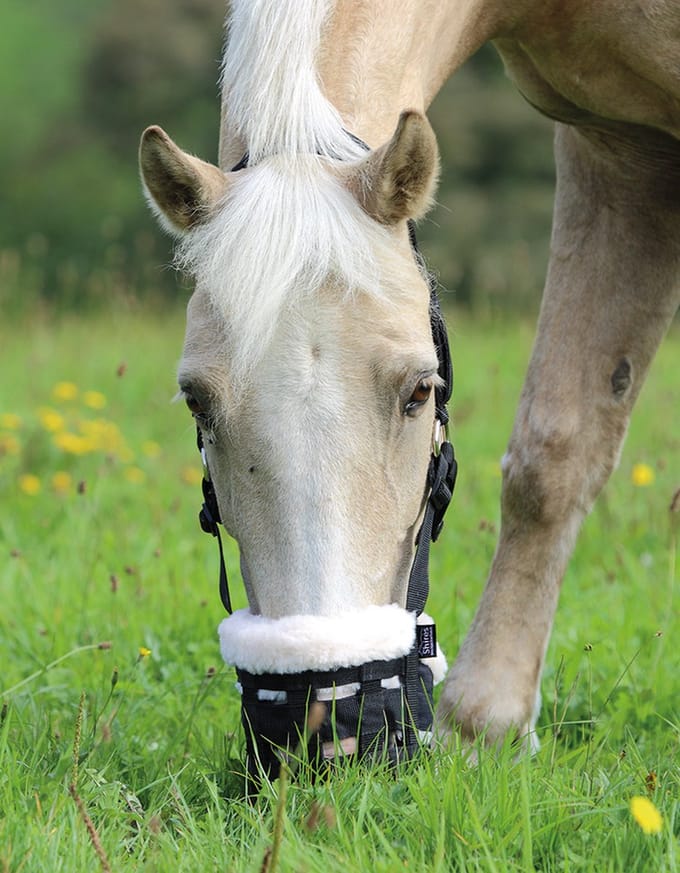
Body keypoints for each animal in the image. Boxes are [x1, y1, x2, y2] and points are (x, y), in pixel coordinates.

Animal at [139, 0, 680, 777]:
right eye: (197, 402)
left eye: (420, 392)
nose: (326, 729)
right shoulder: (616, 146)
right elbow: (556, 450)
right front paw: (486, 729)